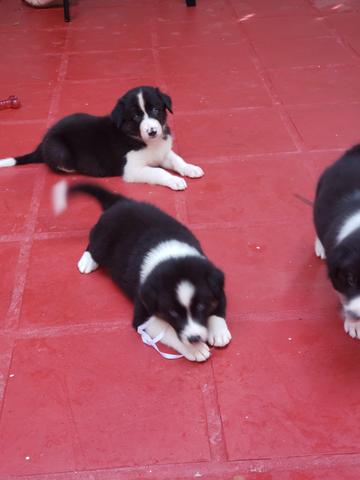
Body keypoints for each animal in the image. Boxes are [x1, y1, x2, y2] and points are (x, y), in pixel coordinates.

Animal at [0, 85, 202, 190]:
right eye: (136, 116)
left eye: (155, 109)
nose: (152, 131)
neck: (146, 141)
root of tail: (42, 143)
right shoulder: (132, 169)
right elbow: (158, 171)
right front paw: (174, 180)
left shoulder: (162, 152)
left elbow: (177, 159)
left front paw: (190, 168)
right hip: (60, 151)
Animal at [53, 180, 233, 360]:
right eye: (173, 313)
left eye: (201, 307)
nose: (194, 338)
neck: (171, 254)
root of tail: (120, 203)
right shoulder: (142, 314)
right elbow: (168, 330)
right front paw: (196, 350)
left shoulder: (216, 282)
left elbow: (219, 304)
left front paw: (218, 332)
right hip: (102, 240)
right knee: (93, 243)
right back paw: (87, 261)